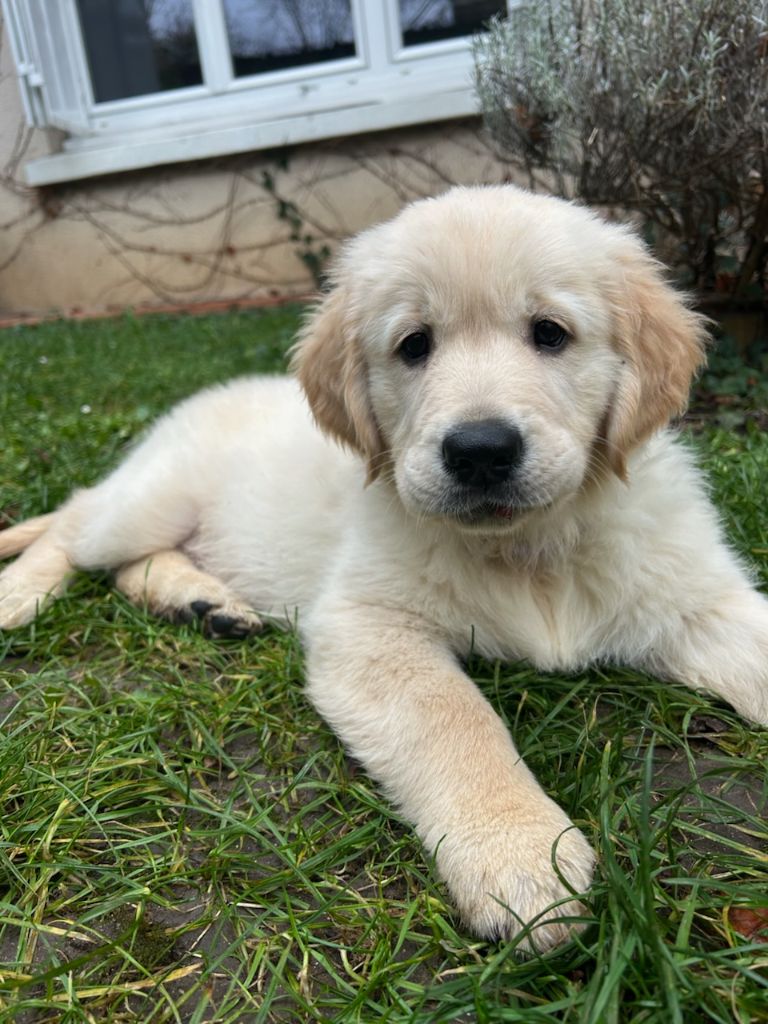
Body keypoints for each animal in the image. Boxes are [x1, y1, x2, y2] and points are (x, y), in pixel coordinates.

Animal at [1, 184, 768, 950]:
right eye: (414, 345)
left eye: (550, 333)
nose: (480, 451)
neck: (532, 547)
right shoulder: (367, 625)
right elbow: (454, 717)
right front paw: (521, 854)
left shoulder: (698, 593)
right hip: (151, 498)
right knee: (75, 524)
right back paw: (21, 593)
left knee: (127, 563)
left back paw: (201, 601)